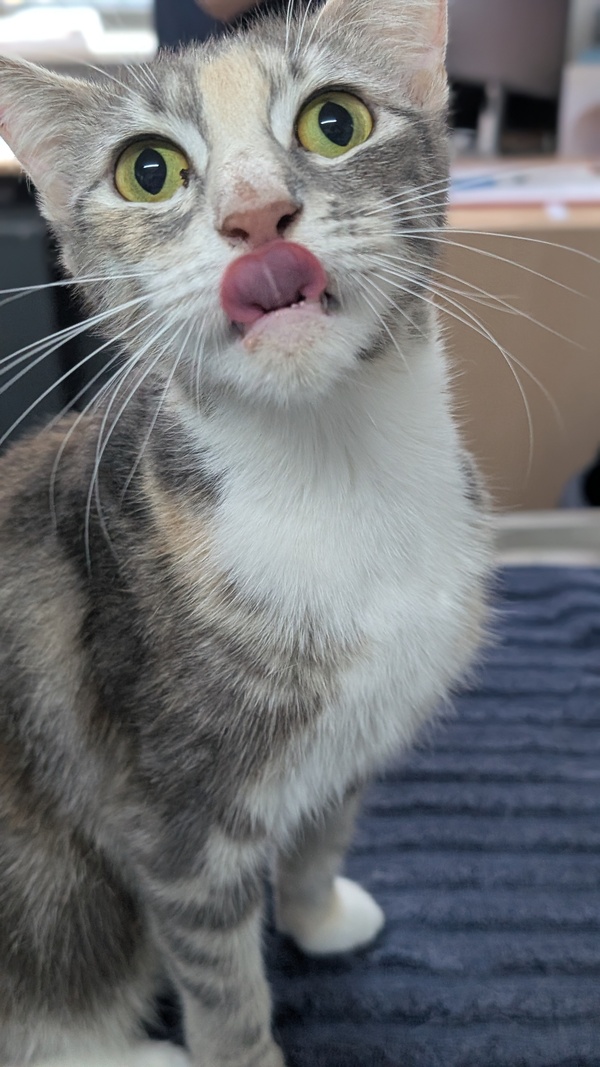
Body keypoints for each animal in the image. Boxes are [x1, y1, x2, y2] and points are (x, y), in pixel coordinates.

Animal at [0, 1, 491, 1064]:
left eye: (335, 121)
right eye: (148, 169)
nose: (256, 214)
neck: (338, 478)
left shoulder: (349, 742)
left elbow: (319, 835)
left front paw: (320, 914)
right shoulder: (171, 816)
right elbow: (222, 981)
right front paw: (244, 1049)